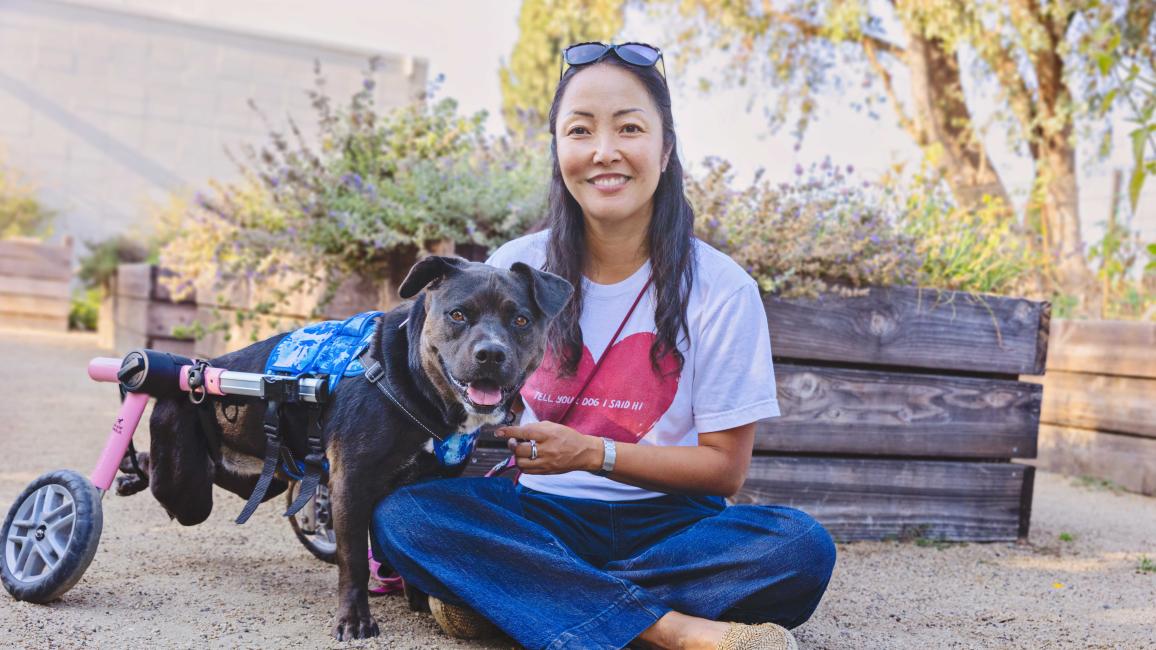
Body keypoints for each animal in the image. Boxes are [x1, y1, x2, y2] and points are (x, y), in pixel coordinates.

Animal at [135, 255, 568, 633]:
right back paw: (130, 468)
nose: (491, 353)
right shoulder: (352, 485)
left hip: (258, 474)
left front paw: (416, 596)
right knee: (162, 477)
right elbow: (355, 559)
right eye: (458, 315)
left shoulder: (418, 484)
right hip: (186, 488)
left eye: (521, 320)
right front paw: (355, 621)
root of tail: (196, 371)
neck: (412, 385)